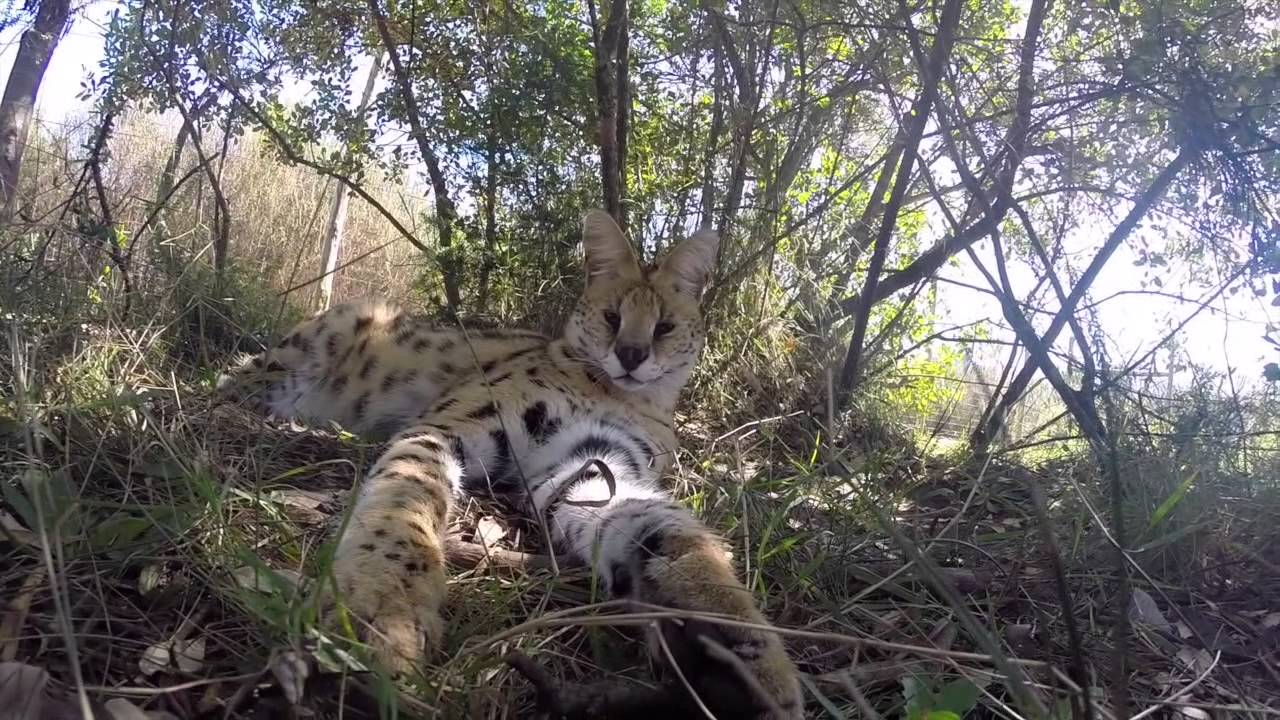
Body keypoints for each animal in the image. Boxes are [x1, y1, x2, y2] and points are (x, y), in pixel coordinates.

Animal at [217, 210, 803, 719]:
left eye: (664, 327)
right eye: (612, 317)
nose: (632, 356)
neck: (621, 393)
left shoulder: (591, 465)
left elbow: (670, 534)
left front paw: (740, 649)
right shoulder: (444, 426)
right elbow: (404, 497)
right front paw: (382, 607)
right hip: (317, 340)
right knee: (234, 378)